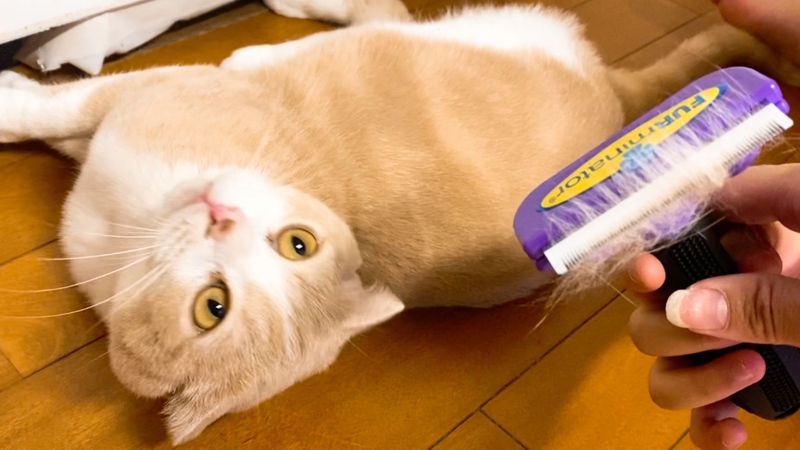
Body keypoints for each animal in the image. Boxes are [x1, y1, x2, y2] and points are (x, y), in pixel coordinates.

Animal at [0, 1, 797, 444]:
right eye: (299, 244)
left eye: (213, 307)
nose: (220, 214)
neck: (123, 233)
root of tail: (620, 100)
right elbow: (66, 120)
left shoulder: (161, 92)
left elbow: (57, 109)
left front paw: (12, 96)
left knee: (375, 18)